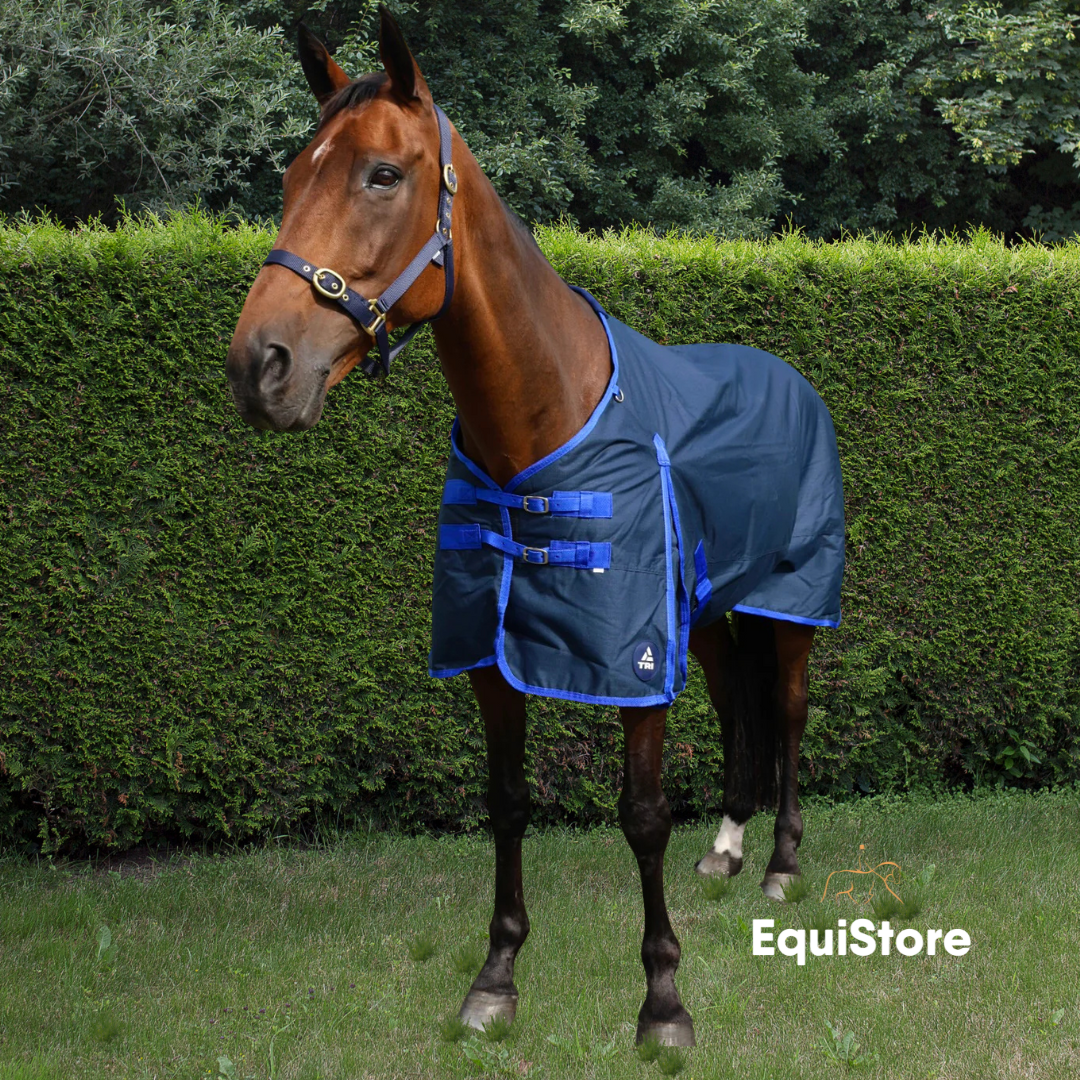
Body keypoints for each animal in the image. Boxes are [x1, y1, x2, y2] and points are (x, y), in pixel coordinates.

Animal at [226, 9, 844, 1048]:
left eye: (381, 174)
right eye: (290, 178)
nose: (259, 366)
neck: (541, 422)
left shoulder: (633, 662)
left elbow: (642, 814)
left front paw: (663, 1001)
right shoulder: (492, 655)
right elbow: (508, 804)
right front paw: (495, 980)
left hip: (789, 602)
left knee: (789, 709)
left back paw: (782, 864)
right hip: (708, 611)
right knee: (736, 705)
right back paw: (726, 846)